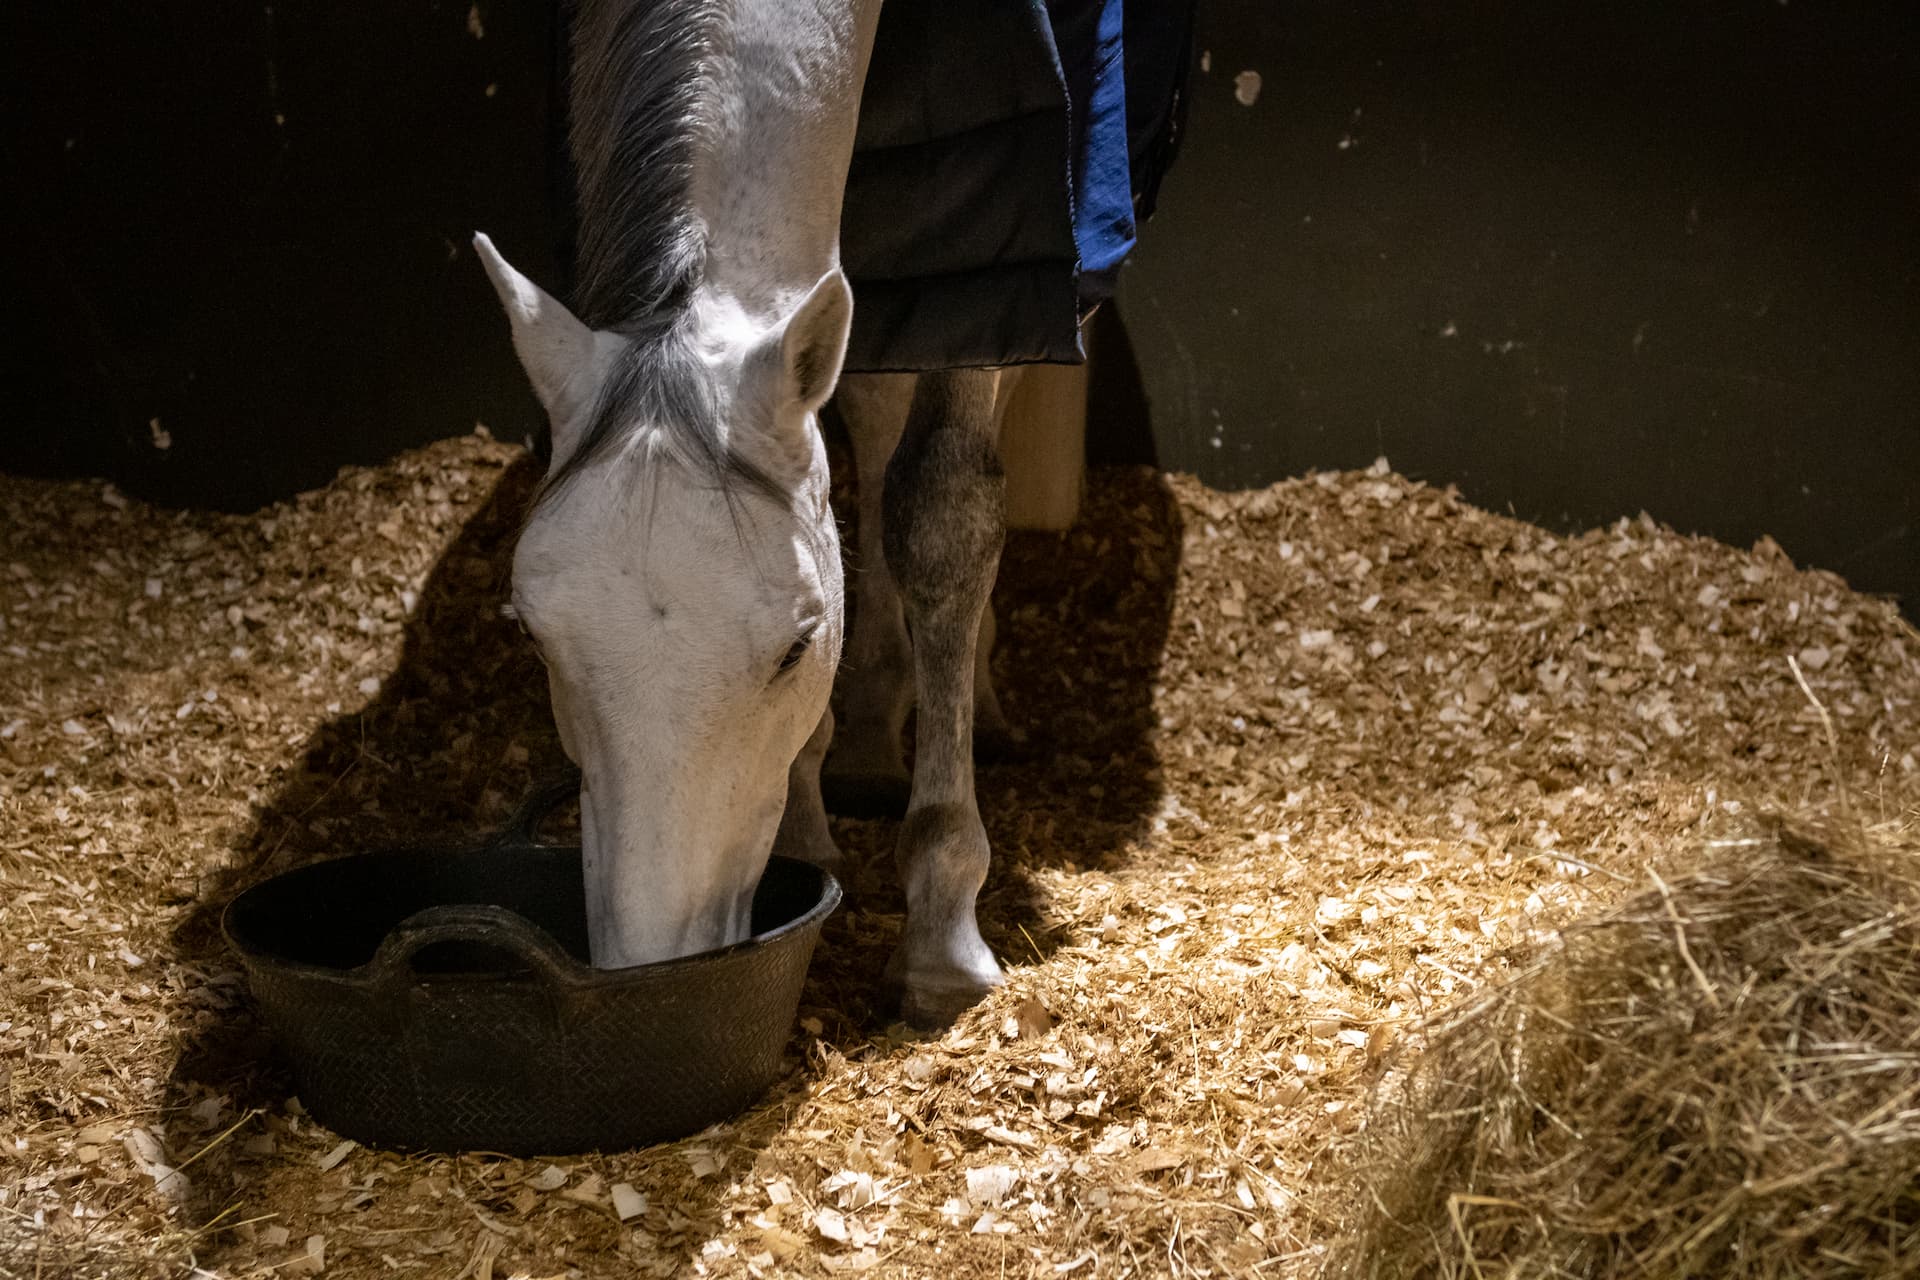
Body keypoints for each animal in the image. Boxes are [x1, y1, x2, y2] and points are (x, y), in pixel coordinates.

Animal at [475, 0, 1013, 1025]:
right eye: (531, 635)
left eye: (797, 649)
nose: (653, 976)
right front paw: (808, 825)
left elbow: (943, 517)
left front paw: (941, 933)